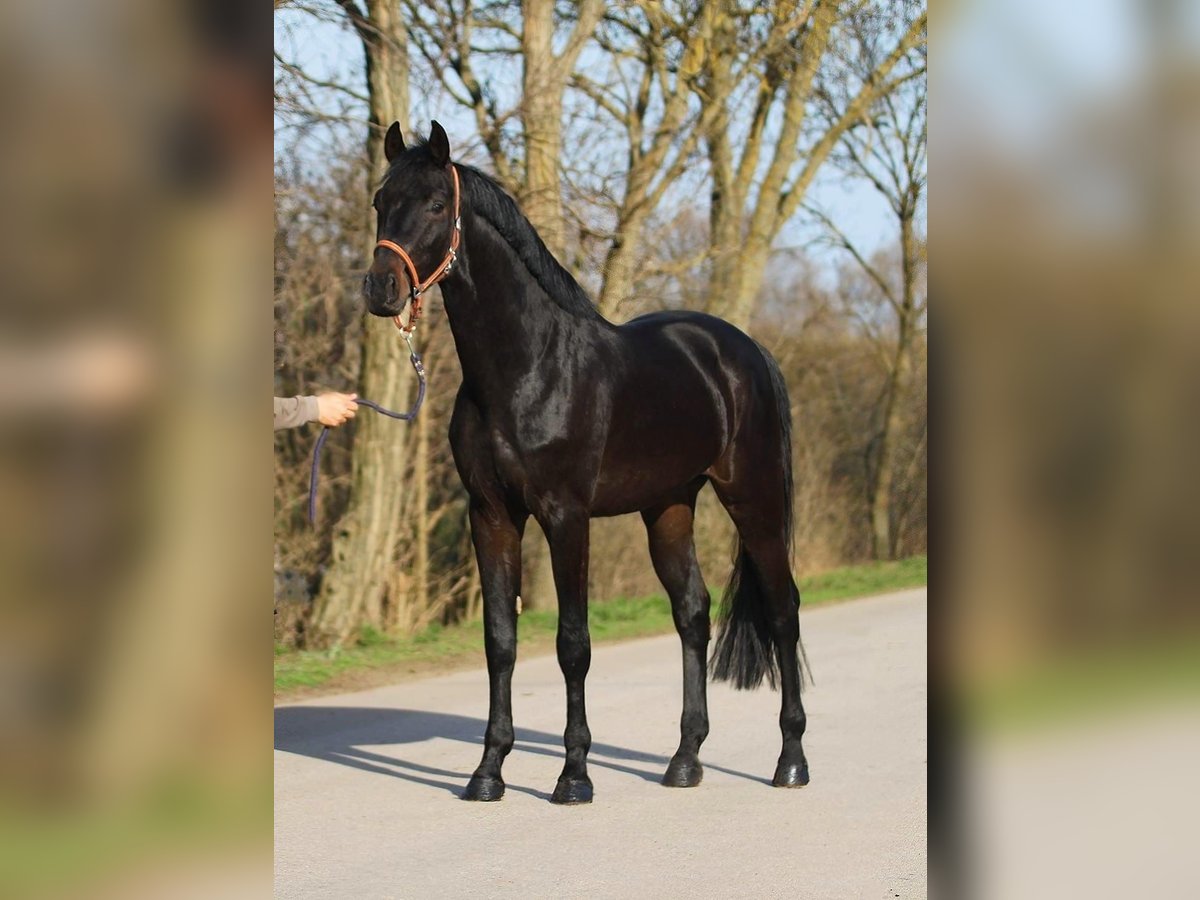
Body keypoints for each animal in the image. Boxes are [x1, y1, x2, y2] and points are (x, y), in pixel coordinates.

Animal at [361, 121, 809, 804]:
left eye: (437, 204)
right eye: (381, 201)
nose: (380, 289)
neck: (526, 370)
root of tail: (746, 351)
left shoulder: (566, 517)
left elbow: (573, 644)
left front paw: (573, 776)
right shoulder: (490, 516)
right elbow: (500, 641)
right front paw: (487, 773)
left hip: (754, 499)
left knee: (783, 613)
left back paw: (791, 762)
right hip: (669, 507)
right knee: (693, 614)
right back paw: (684, 761)